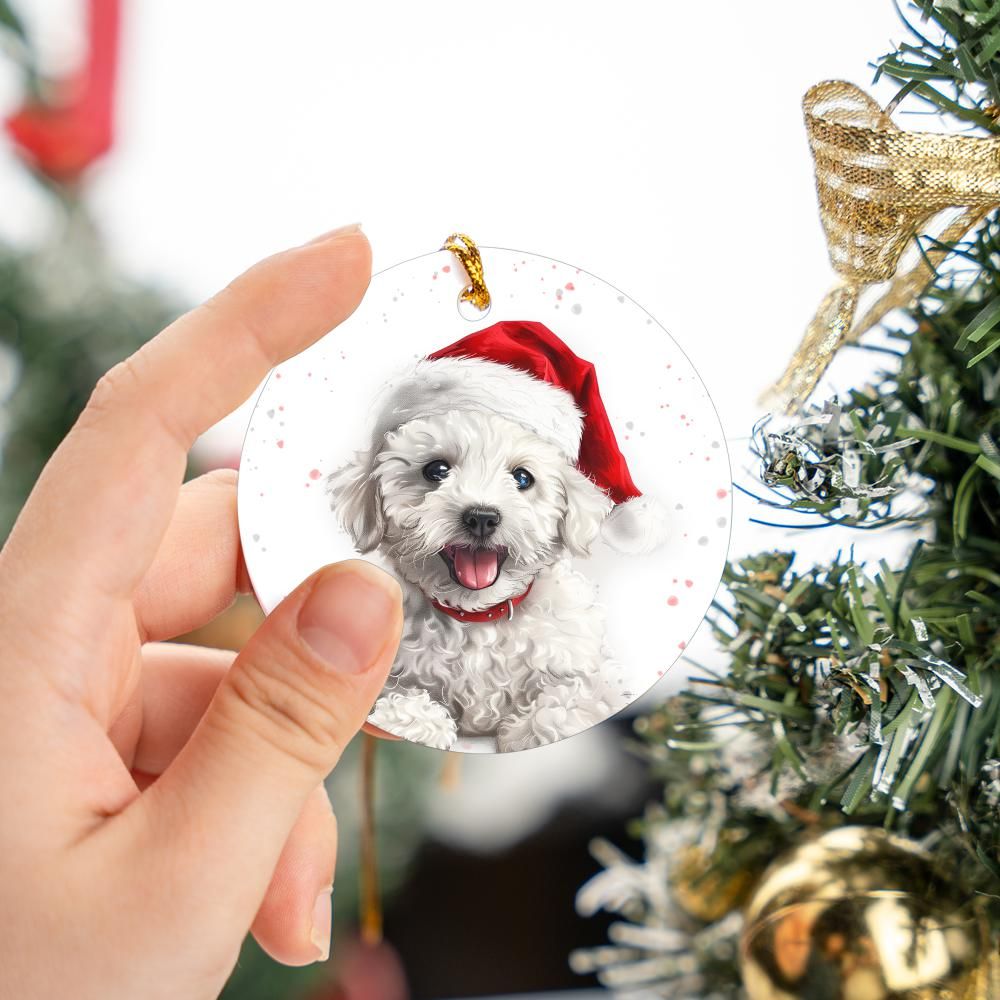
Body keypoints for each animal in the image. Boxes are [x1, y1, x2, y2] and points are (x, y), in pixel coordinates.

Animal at [328, 324, 668, 752]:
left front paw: (525, 734)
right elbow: (399, 700)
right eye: (436, 470)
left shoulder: (595, 676)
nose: (482, 518)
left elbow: (566, 704)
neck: (478, 618)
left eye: (523, 478)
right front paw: (417, 725)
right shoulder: (395, 671)